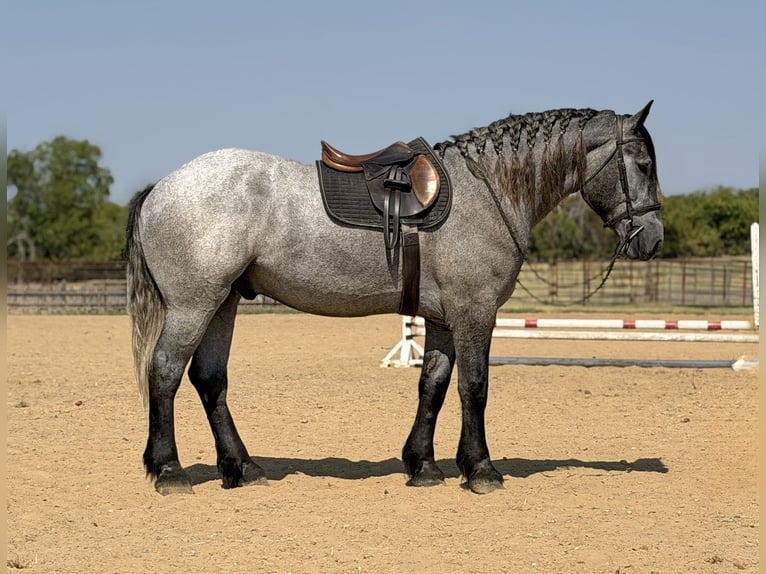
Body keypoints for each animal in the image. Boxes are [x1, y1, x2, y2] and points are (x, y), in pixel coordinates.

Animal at [126, 101, 663, 495]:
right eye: (643, 164)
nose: (653, 239)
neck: (485, 191)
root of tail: (162, 187)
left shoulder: (444, 319)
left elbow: (434, 387)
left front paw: (424, 465)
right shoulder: (474, 313)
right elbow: (475, 387)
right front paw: (482, 470)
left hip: (223, 303)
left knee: (209, 381)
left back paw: (243, 468)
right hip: (194, 305)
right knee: (165, 372)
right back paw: (169, 472)